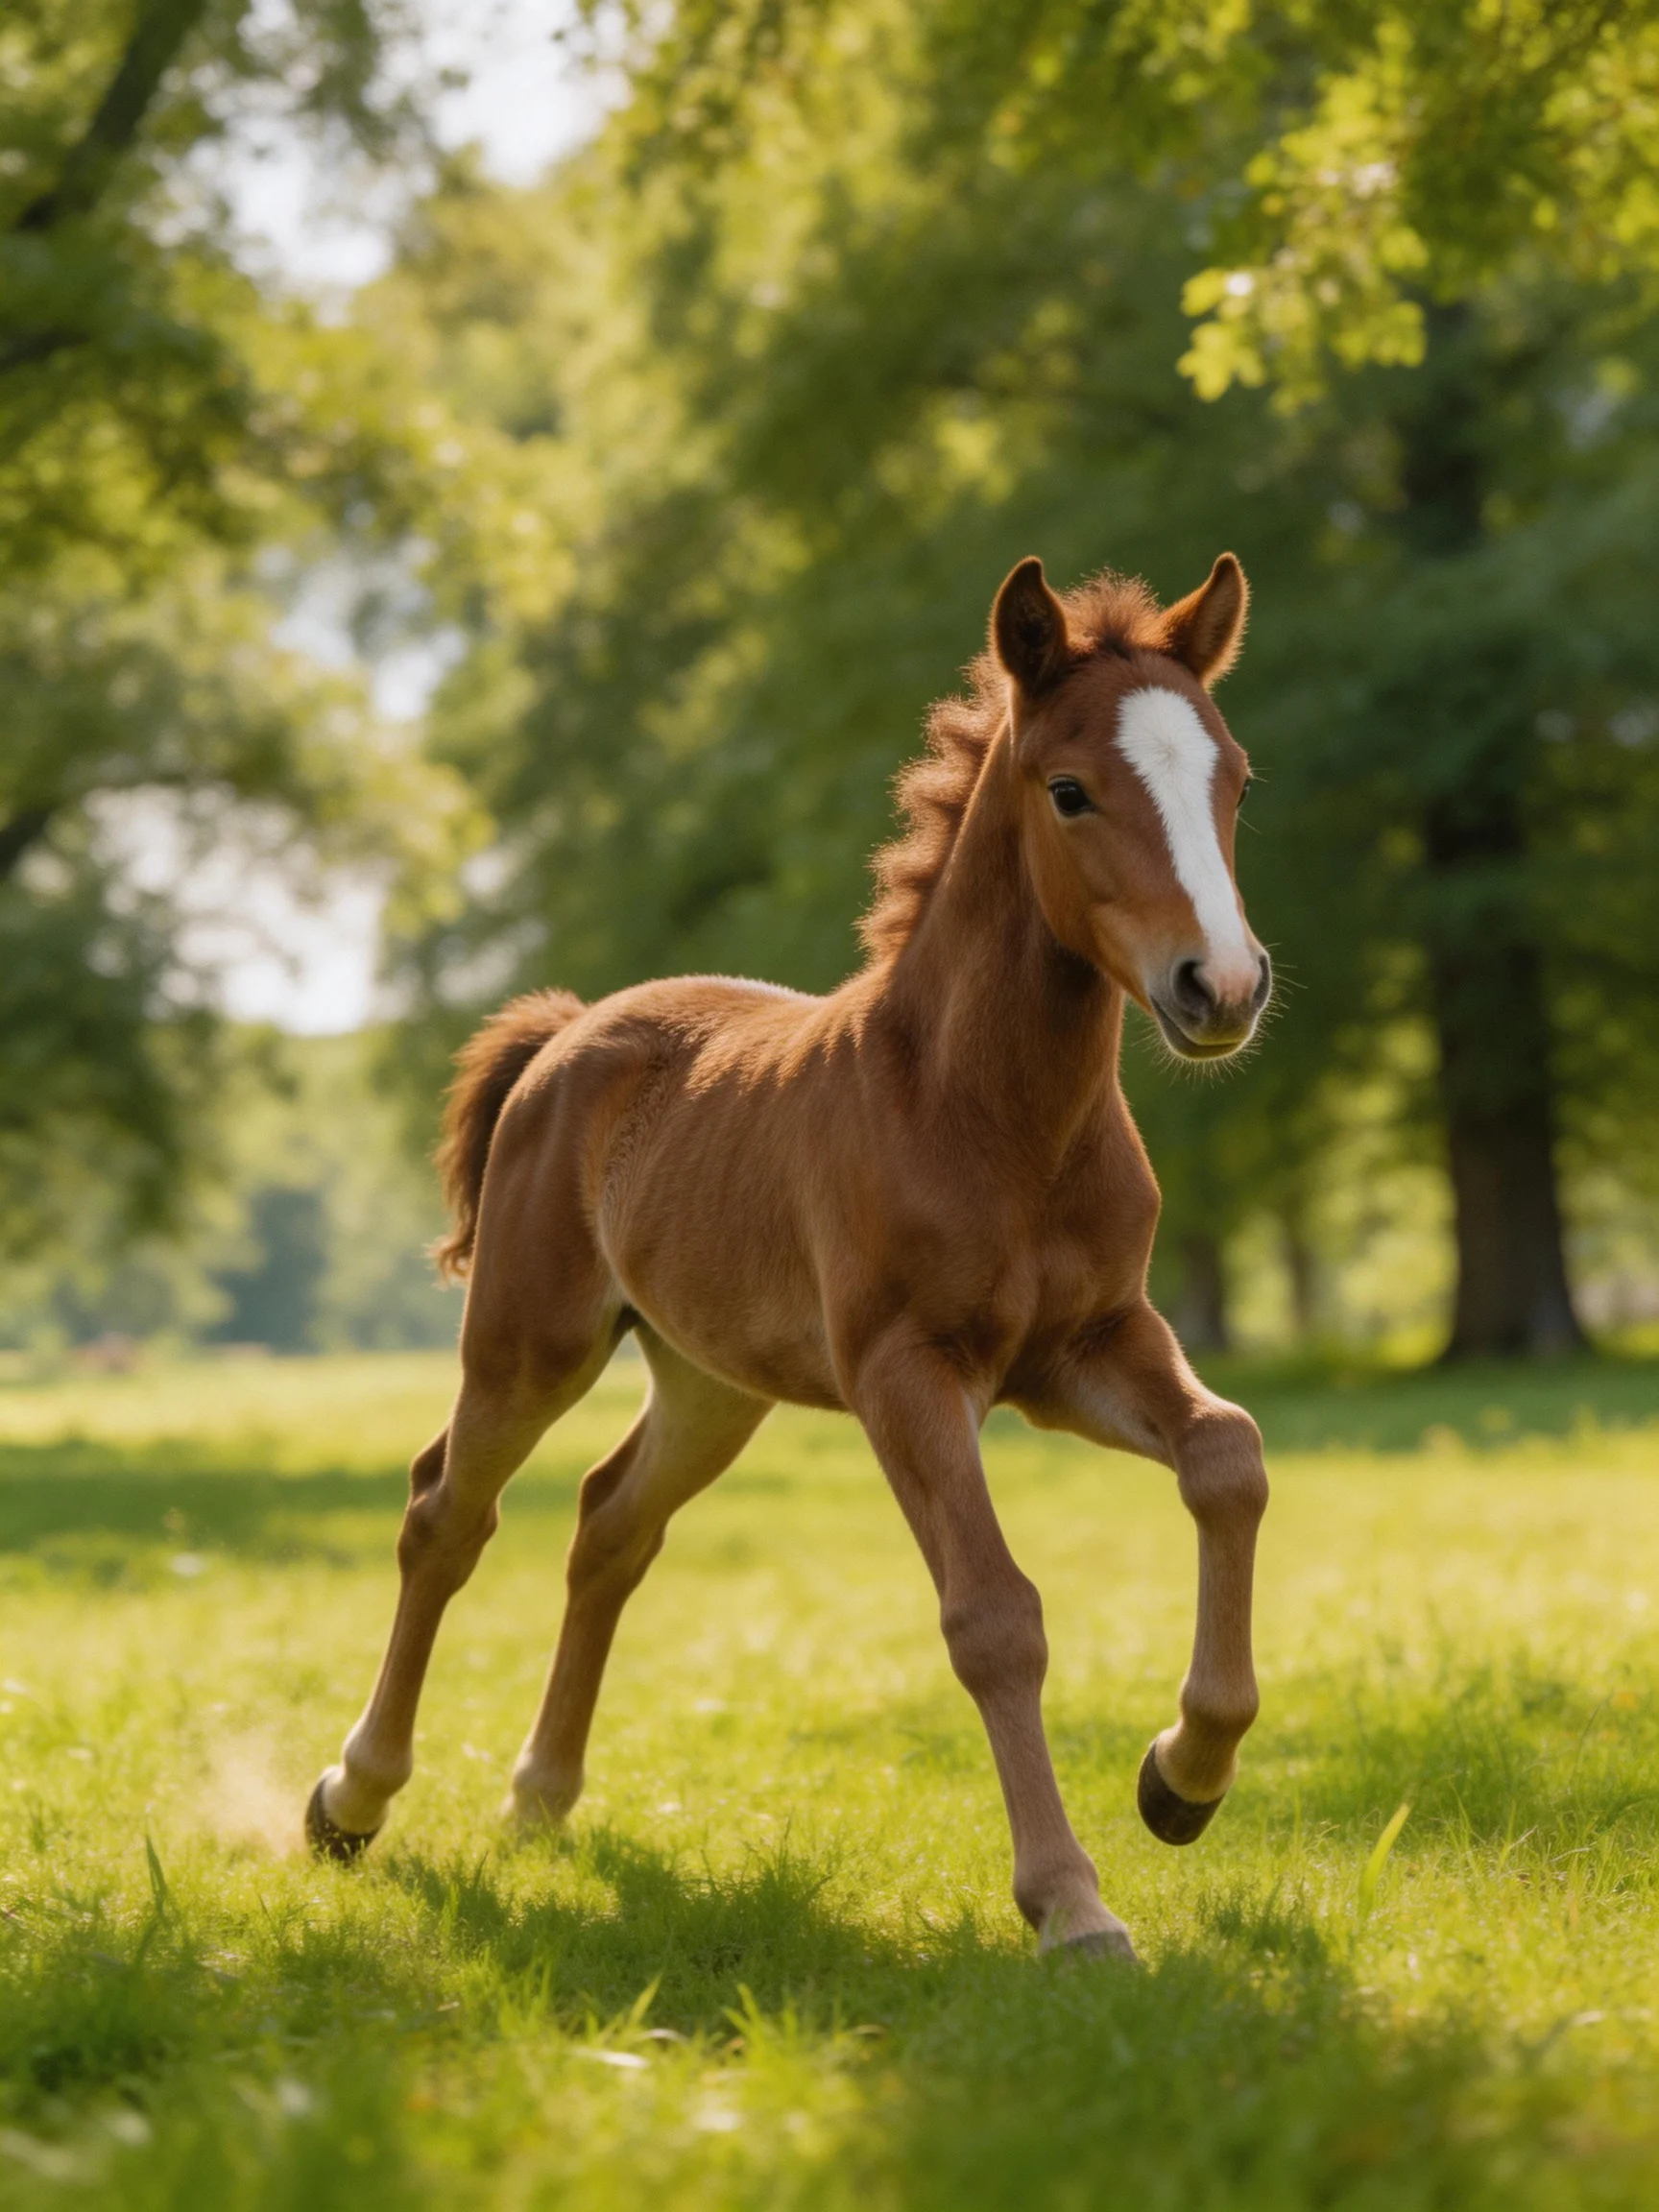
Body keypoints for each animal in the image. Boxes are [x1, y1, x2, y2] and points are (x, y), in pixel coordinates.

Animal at [305, 551, 1274, 1964]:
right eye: (1072, 789)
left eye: (1234, 777)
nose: (1224, 987)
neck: (988, 1114)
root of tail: (567, 1033)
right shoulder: (908, 1374)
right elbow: (994, 1615)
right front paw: (1072, 1903)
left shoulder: (1089, 1346)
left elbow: (1229, 1459)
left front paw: (1181, 1777)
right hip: (530, 1346)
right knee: (447, 1515)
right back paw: (354, 1797)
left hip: (714, 1384)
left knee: (610, 1523)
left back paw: (540, 1798)